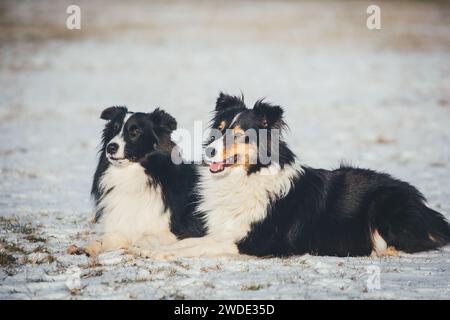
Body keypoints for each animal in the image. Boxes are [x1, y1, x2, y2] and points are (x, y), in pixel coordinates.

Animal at [68, 106, 204, 256]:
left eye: (135, 131)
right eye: (114, 129)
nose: (111, 147)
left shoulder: (176, 232)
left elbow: (146, 239)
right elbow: (105, 238)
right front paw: (87, 247)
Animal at [142, 94, 450, 258]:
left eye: (240, 135)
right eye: (219, 129)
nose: (208, 152)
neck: (248, 177)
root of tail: (425, 206)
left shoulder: (257, 241)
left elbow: (201, 245)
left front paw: (158, 252)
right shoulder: (226, 230)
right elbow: (190, 241)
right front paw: (156, 249)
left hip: (383, 204)